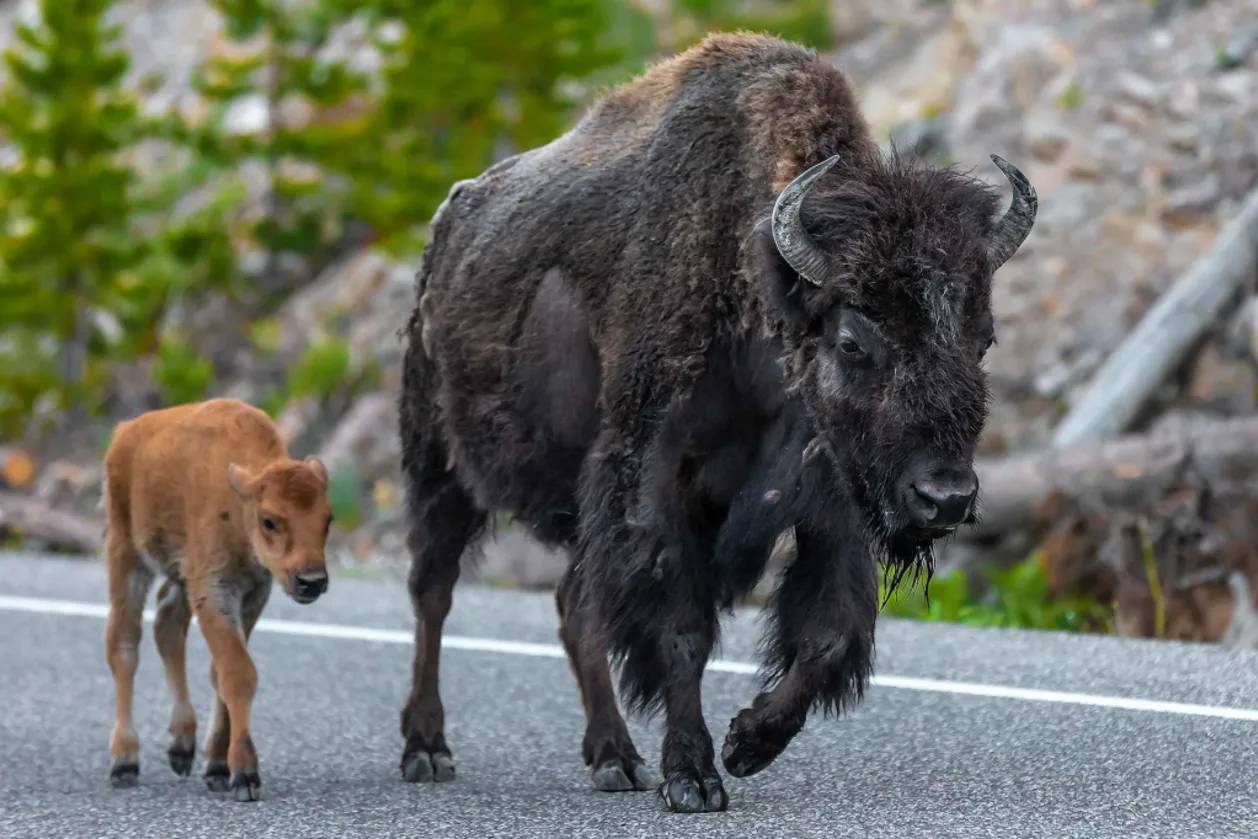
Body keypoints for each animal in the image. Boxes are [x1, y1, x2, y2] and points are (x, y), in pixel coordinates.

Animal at [101, 398, 334, 801]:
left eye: (328, 520)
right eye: (269, 520)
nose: (311, 582)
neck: (239, 504)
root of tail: (125, 431)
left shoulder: (252, 594)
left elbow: (219, 672)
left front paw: (217, 766)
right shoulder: (213, 590)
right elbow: (238, 673)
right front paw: (244, 775)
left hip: (179, 577)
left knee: (166, 625)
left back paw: (182, 747)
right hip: (127, 554)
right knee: (124, 646)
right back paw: (125, 762)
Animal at [394, 32, 1037, 813]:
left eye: (984, 338)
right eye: (854, 341)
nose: (944, 498)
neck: (759, 285)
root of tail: (445, 234)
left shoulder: (830, 498)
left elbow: (829, 633)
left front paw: (749, 741)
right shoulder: (659, 489)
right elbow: (684, 631)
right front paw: (693, 776)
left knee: (573, 606)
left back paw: (615, 758)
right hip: (439, 466)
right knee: (434, 591)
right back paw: (427, 748)